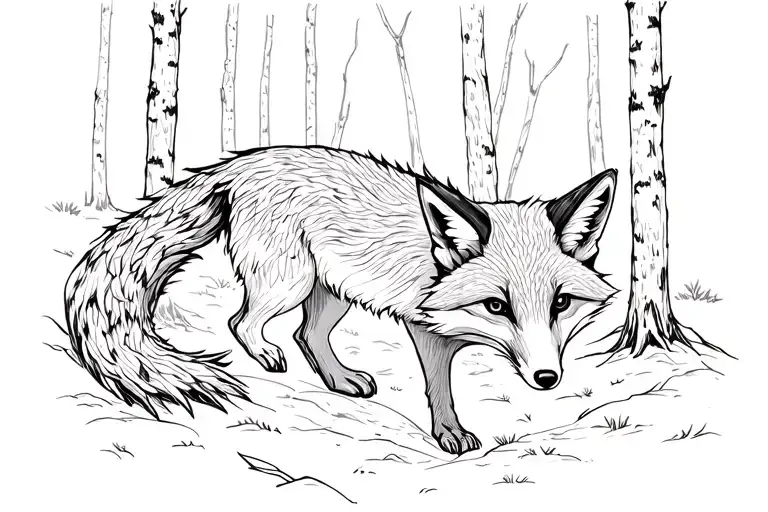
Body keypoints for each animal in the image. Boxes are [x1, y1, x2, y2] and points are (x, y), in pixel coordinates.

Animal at [64, 146, 617, 455]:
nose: (546, 378)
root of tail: (240, 163)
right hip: (288, 281)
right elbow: (439, 388)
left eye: (561, 304)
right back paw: (266, 356)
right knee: (241, 321)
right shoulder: (424, 327)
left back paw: (339, 379)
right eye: (497, 307)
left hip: (329, 293)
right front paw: (449, 434)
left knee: (306, 333)